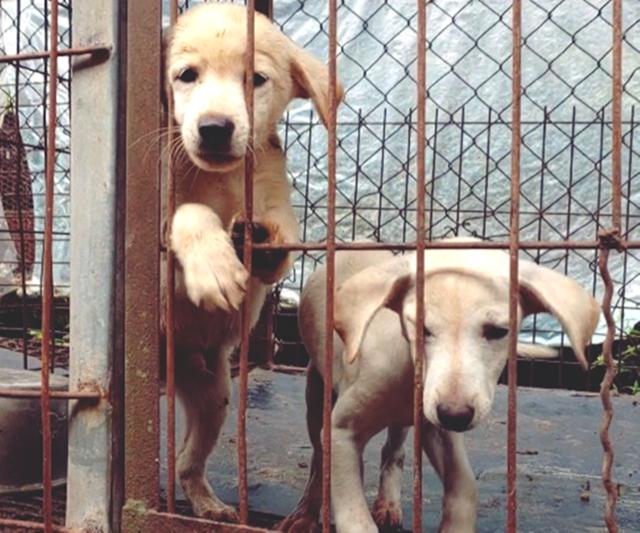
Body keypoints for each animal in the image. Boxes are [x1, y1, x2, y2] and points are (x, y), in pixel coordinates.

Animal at [162, 3, 342, 520]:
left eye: (256, 79)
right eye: (186, 75)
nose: (215, 128)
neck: (219, 180)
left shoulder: (274, 205)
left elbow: (278, 248)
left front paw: (255, 241)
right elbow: (189, 213)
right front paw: (216, 267)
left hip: (215, 397)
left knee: (186, 462)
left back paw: (209, 505)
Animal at [280, 240, 600, 532]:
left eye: (498, 331)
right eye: (421, 328)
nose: (454, 415)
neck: (411, 372)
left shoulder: (439, 431)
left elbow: (465, 487)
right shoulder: (341, 432)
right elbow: (353, 515)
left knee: (393, 451)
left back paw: (388, 504)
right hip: (316, 391)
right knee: (318, 458)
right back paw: (305, 514)